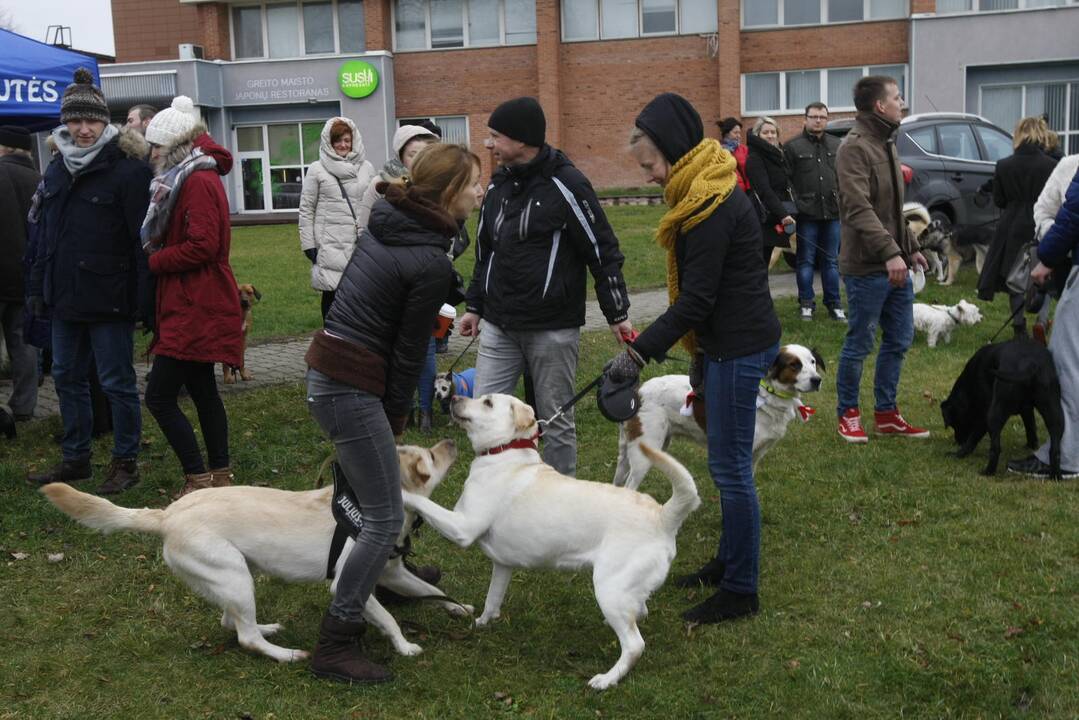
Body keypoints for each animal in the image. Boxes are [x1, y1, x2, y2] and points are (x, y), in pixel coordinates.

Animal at [945, 338, 1061, 479]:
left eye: (954, 424)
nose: (958, 441)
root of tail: (1028, 364)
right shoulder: (1027, 409)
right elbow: (1031, 428)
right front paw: (1031, 446)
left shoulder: (983, 416)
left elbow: (973, 439)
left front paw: (958, 454)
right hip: (1054, 412)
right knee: (1055, 449)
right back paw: (1055, 476)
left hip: (995, 413)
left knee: (995, 448)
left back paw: (988, 472)